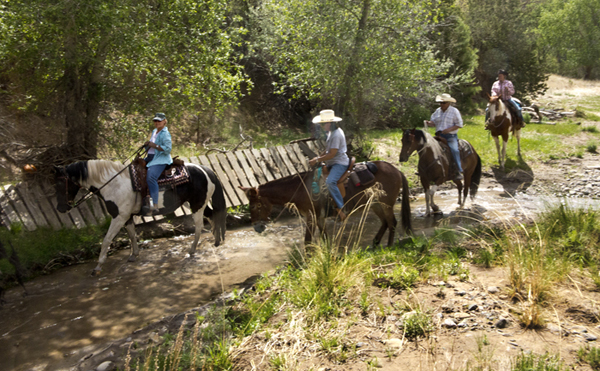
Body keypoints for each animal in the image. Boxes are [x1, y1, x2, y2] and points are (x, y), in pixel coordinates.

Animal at [54, 160, 226, 276]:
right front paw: (133, 255)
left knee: (199, 226)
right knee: (213, 216)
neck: (113, 184)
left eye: (60, 184)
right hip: (197, 204)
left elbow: (107, 240)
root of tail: (205, 169)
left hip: (197, 205)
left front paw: (98, 267)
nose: (60, 208)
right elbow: (131, 234)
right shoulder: (127, 216)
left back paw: (192, 249)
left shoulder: (119, 217)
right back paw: (217, 241)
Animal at [239, 161, 412, 248]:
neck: (301, 188)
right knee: (385, 223)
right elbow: (325, 238)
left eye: (254, 206)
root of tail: (397, 170)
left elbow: (308, 241)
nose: (256, 227)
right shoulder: (320, 218)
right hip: (376, 204)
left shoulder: (311, 217)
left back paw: (389, 246)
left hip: (385, 204)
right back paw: (375, 244)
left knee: (392, 222)